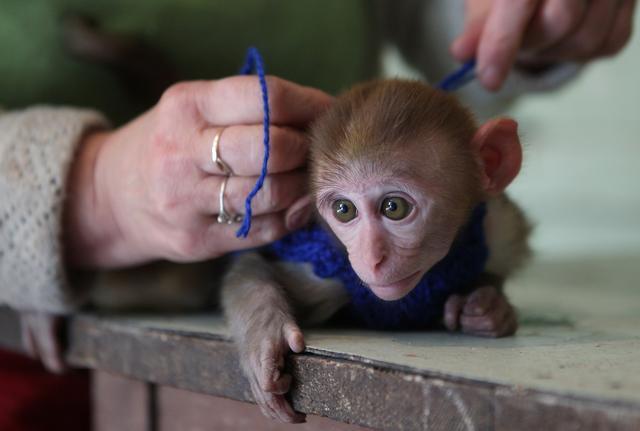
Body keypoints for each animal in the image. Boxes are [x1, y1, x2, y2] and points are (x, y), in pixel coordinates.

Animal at [221, 79, 528, 424]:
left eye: (394, 207)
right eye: (344, 210)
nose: (371, 258)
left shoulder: (499, 226)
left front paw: (488, 307)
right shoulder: (324, 272)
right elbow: (251, 261)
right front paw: (265, 340)